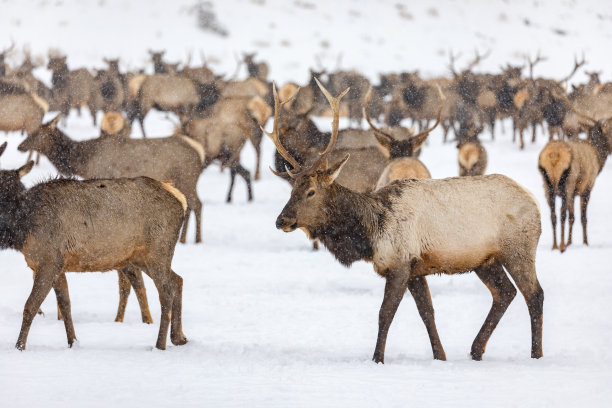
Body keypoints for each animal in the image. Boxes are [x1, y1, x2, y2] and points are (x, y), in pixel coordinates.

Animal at [0, 161, 186, 350]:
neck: (22, 228)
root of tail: (180, 199)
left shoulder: (49, 261)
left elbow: (30, 306)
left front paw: (19, 346)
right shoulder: (59, 265)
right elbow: (65, 304)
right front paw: (72, 341)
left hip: (158, 251)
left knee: (166, 291)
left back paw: (160, 344)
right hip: (141, 257)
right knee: (177, 280)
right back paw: (179, 338)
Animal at [18, 113, 206, 244]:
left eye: (37, 133)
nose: (20, 146)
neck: (83, 161)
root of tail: (199, 151)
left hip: (187, 177)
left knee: (197, 203)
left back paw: (195, 239)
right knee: (191, 203)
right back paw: (184, 238)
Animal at [270, 79, 544, 364]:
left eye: (311, 191)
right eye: (292, 189)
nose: (281, 220)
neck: (369, 234)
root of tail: (534, 202)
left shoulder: (400, 263)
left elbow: (385, 314)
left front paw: (377, 359)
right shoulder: (415, 269)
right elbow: (427, 313)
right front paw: (440, 356)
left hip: (518, 250)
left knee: (534, 294)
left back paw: (535, 354)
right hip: (485, 260)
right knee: (505, 293)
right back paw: (476, 349)